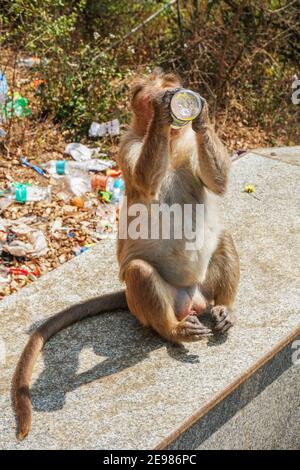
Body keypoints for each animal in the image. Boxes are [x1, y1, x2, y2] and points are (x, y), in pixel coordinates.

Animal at [12, 67, 239, 440]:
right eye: (150, 97)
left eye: (171, 84)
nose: (171, 95)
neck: (173, 144)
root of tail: (191, 299)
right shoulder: (127, 146)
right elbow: (145, 181)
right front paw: (164, 112)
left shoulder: (189, 145)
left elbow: (217, 183)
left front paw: (201, 113)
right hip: (157, 304)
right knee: (140, 272)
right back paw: (174, 331)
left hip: (202, 285)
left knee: (223, 239)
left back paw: (224, 308)